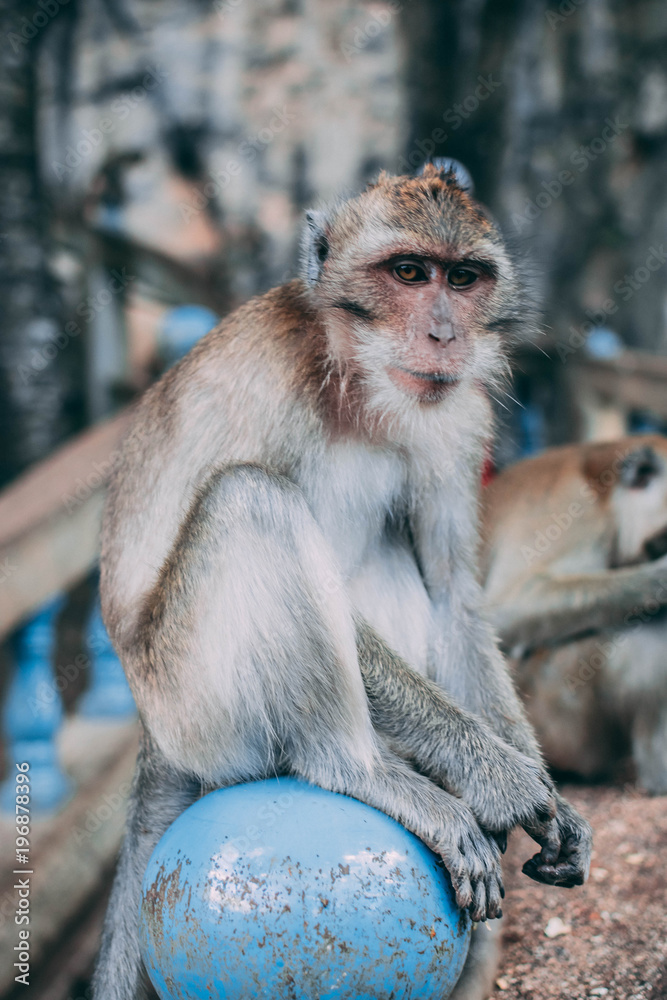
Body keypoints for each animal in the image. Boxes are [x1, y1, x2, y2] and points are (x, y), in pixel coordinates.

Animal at [93, 161, 592, 1000]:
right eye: (408, 273)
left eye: (462, 278)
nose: (444, 334)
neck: (356, 385)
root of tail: (154, 739)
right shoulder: (268, 382)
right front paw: (499, 778)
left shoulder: (458, 411)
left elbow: (452, 592)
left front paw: (536, 786)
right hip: (197, 709)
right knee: (250, 500)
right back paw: (353, 767)